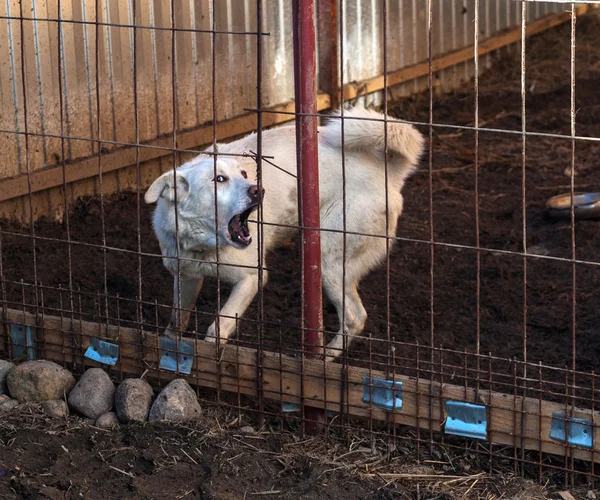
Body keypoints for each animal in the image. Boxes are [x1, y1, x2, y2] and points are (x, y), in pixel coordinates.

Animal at [145, 107, 424, 362]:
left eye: (243, 174)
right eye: (219, 179)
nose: (258, 189)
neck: (203, 245)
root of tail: (386, 172)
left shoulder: (251, 277)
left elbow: (220, 325)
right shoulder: (186, 277)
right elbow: (177, 320)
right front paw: (171, 347)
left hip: (329, 262)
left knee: (355, 317)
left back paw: (323, 358)